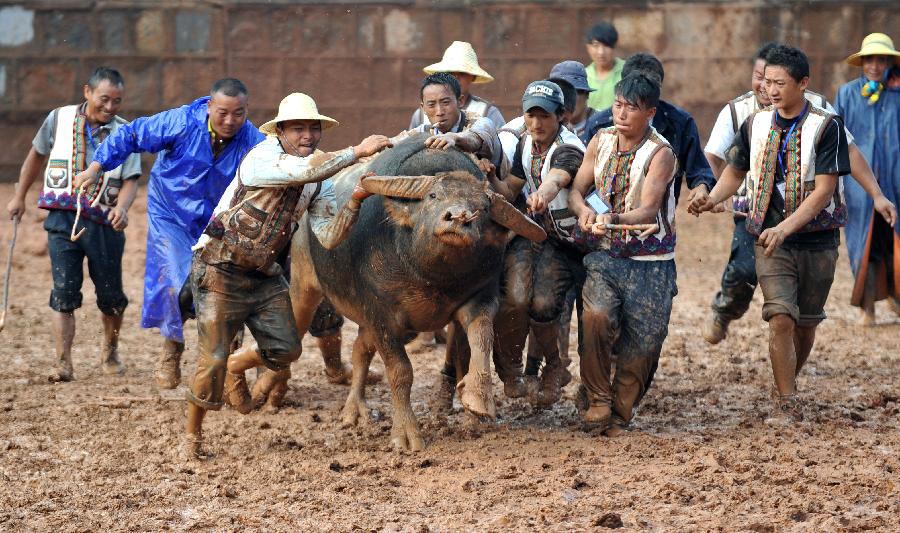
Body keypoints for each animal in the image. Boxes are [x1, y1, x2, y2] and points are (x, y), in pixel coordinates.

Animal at [244, 135, 548, 450]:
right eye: (433, 196)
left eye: (483, 207)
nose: (458, 218)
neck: (430, 277)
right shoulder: (382, 315)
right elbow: (400, 371)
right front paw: (406, 433)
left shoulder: (479, 299)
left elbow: (482, 337)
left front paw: (478, 398)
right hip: (305, 286)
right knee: (295, 332)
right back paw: (264, 386)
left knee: (359, 351)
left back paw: (354, 409)